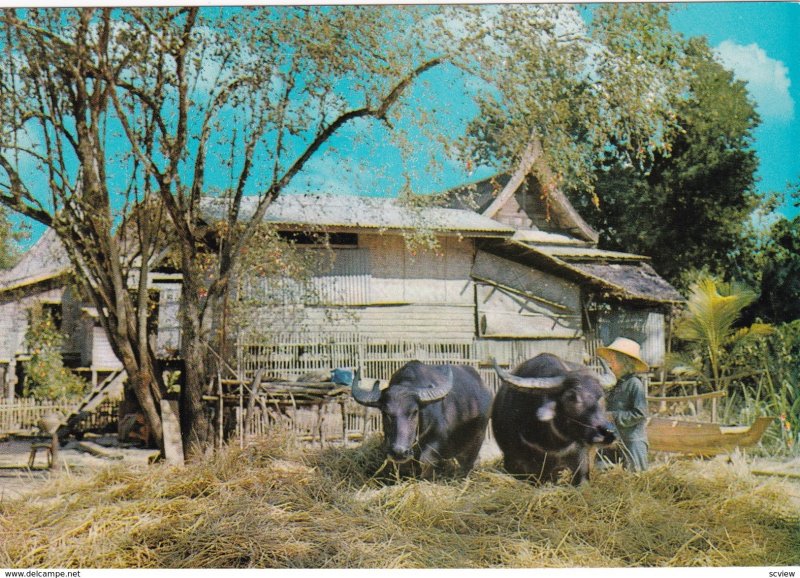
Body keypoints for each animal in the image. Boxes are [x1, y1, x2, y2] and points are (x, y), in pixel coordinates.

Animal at [352, 360, 490, 476]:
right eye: (385, 413)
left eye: (414, 411)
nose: (399, 452)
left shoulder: (436, 441)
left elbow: (426, 460)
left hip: (478, 437)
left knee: (469, 461)